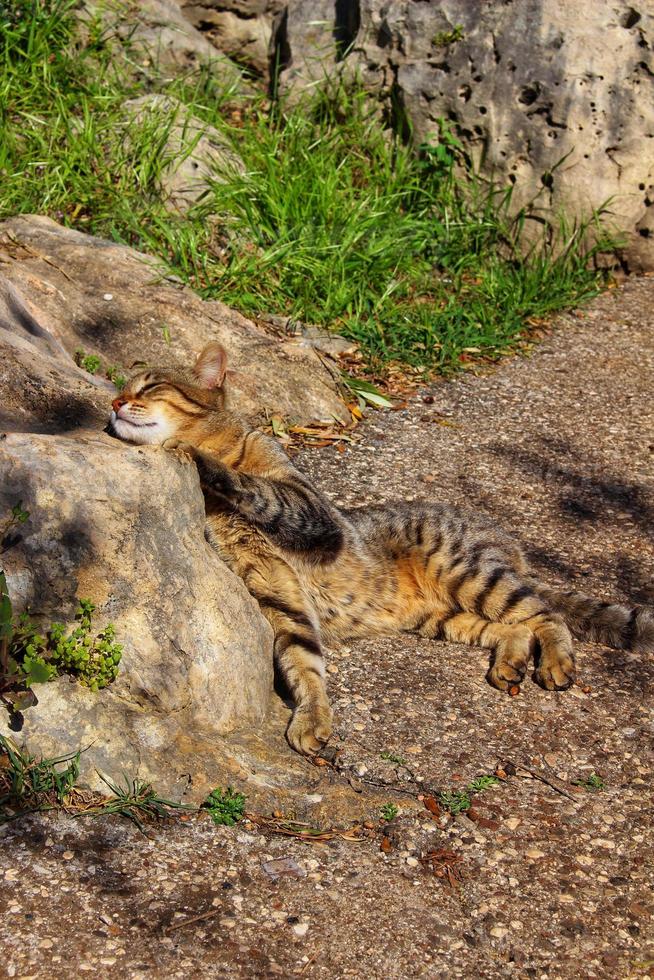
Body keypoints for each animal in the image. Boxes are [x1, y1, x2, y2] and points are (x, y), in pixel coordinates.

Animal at [107, 340, 654, 756]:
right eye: (120, 388)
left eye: (149, 387)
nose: (113, 404)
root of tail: (510, 545)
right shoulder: (276, 597)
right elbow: (302, 662)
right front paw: (312, 716)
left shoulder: (311, 512)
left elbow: (258, 488)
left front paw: (198, 458)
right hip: (442, 616)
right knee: (512, 627)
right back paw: (510, 662)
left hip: (468, 572)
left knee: (547, 614)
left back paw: (556, 661)